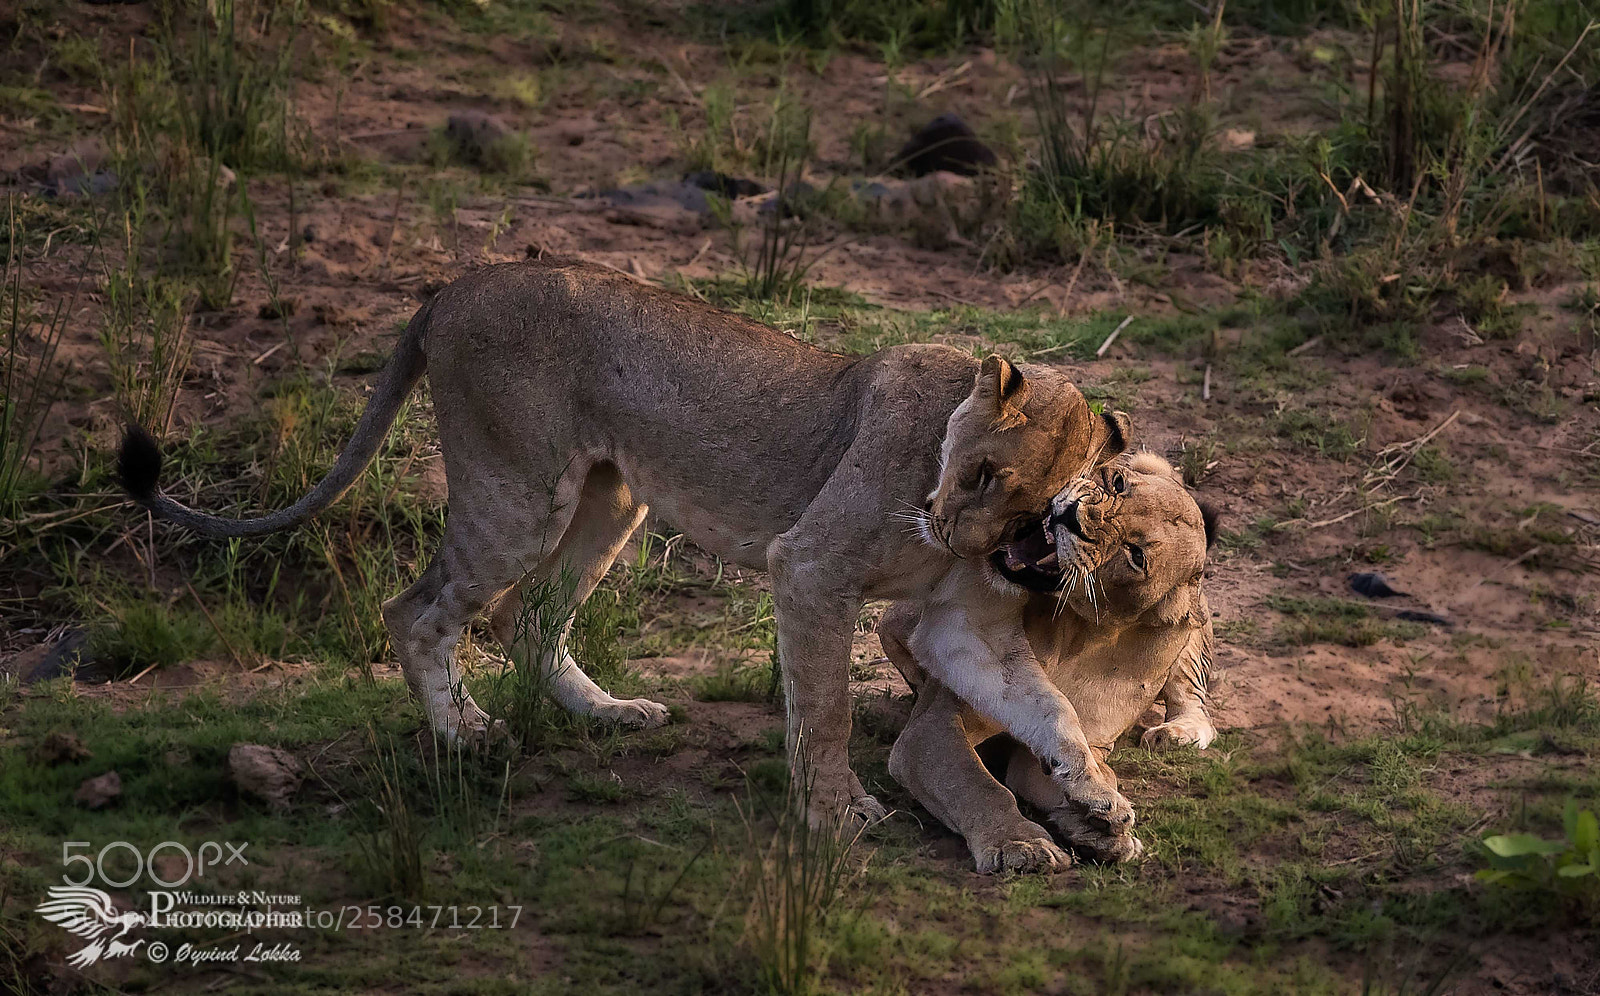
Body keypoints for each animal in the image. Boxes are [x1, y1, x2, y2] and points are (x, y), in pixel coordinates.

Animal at [118, 257, 1130, 825]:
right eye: (983, 474)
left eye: (1038, 517)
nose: (954, 530)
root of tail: (455, 286)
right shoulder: (809, 569)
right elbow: (827, 709)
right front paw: (837, 814)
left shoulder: (967, 626)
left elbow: (1050, 708)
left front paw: (1098, 796)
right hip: (519, 493)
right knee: (417, 609)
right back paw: (462, 737)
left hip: (611, 501)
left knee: (526, 620)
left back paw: (605, 713)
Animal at [880, 452, 1218, 872]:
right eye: (1118, 484)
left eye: (1137, 556)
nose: (1073, 517)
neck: (1077, 632)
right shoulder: (935, 724)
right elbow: (975, 784)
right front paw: (1020, 843)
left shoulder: (1081, 745)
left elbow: (1080, 769)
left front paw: (1099, 827)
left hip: (1192, 625)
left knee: (1194, 700)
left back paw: (1176, 733)